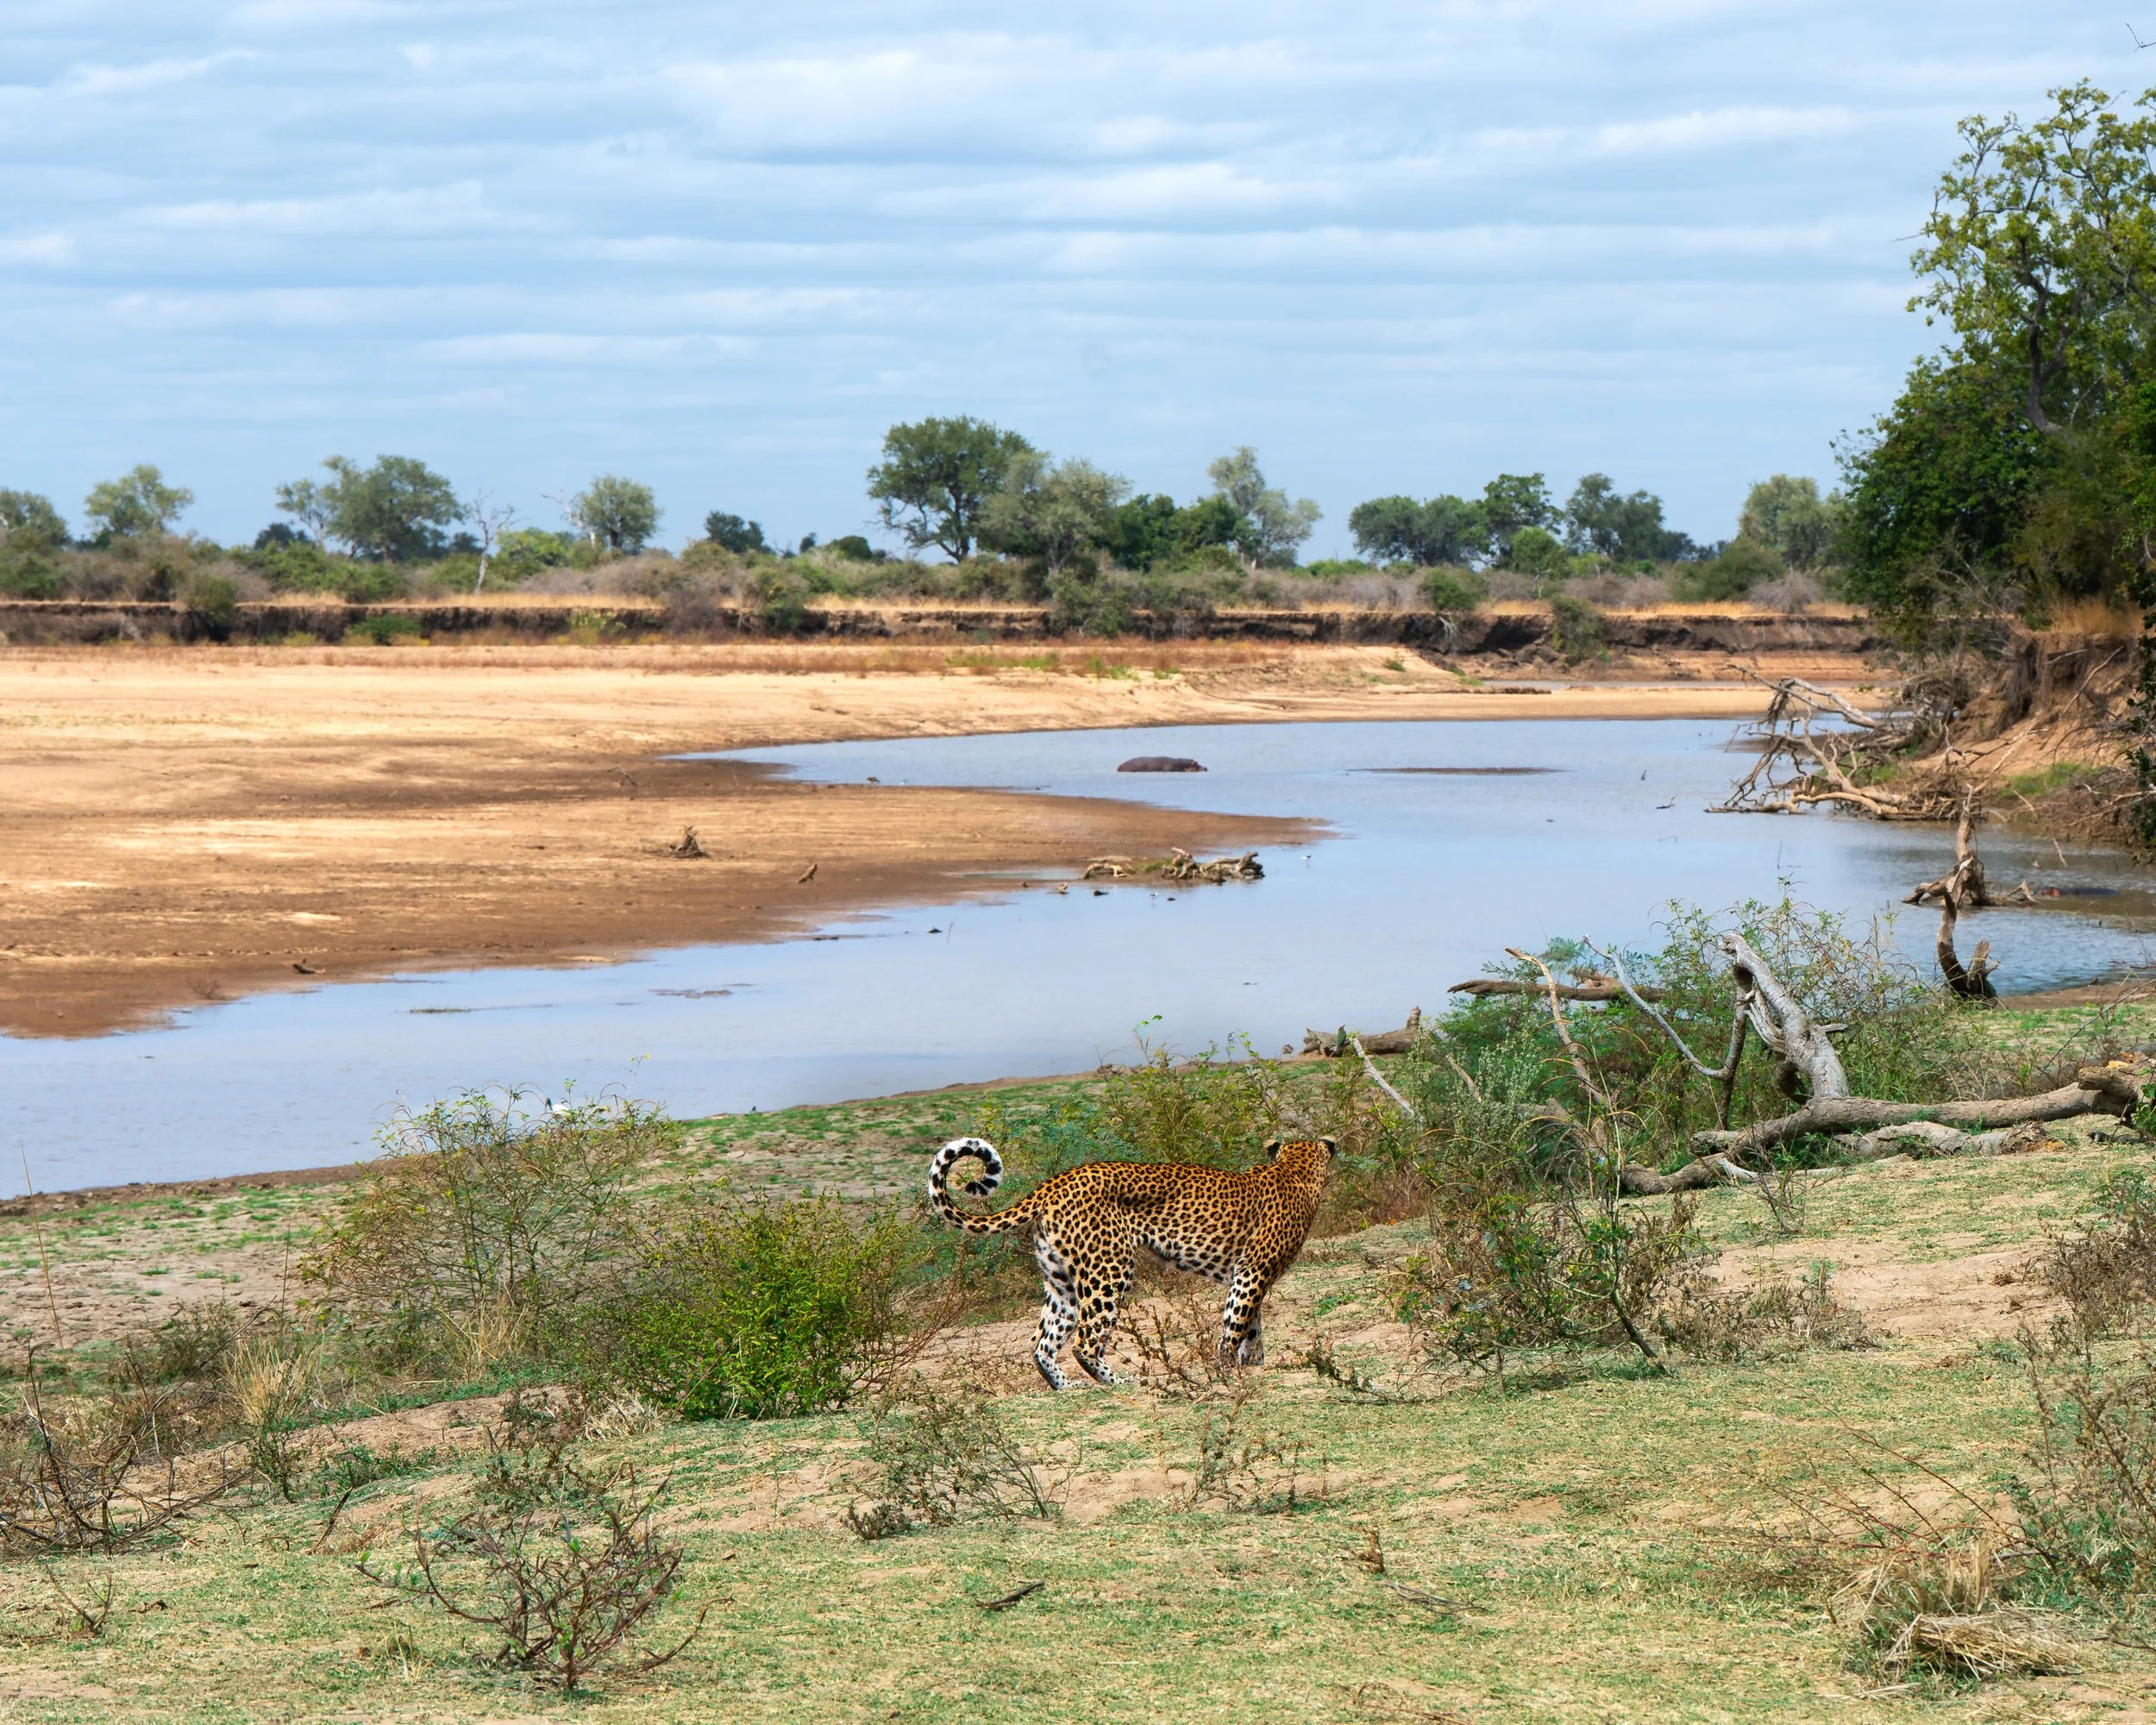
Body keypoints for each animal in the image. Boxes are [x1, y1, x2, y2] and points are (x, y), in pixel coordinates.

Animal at [926, 1134, 1335, 1390]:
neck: (1296, 1169)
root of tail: (1052, 1183)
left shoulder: (1250, 1277)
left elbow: (1253, 1328)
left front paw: (1252, 1365)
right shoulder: (1252, 1275)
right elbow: (1235, 1329)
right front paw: (1225, 1369)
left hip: (1062, 1282)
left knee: (1042, 1343)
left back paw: (1069, 1388)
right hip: (1110, 1271)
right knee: (1085, 1343)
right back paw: (1124, 1382)